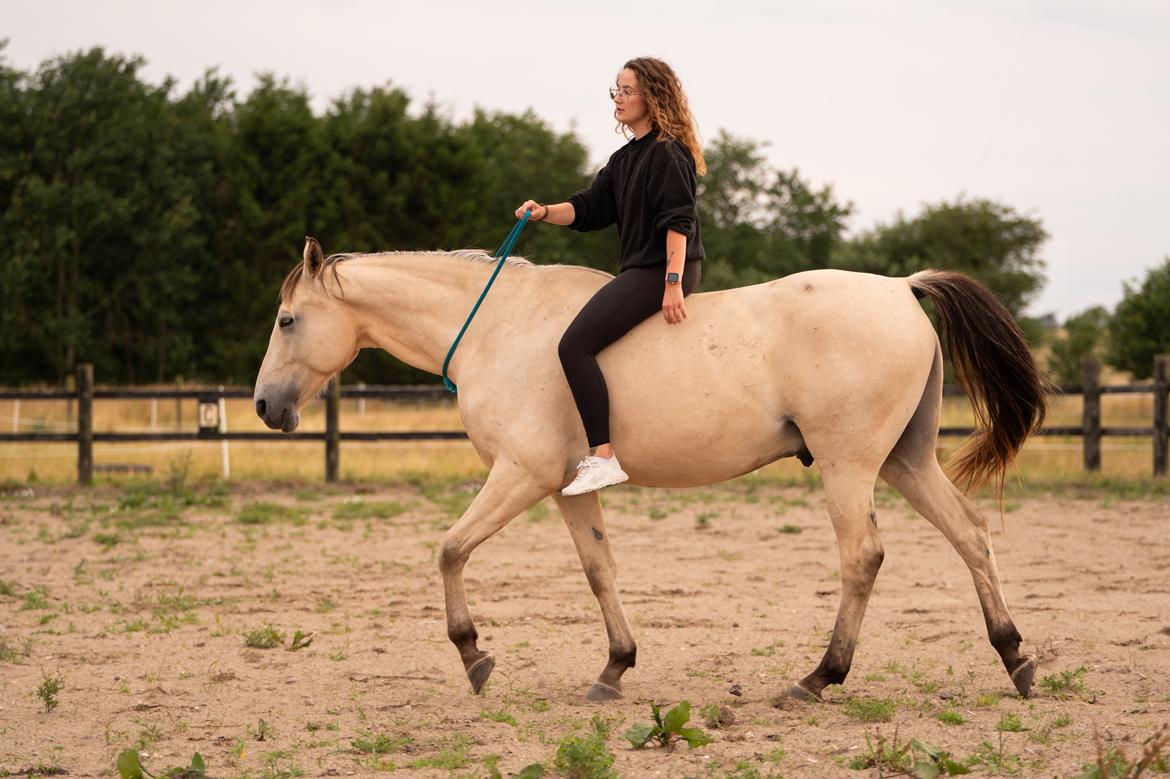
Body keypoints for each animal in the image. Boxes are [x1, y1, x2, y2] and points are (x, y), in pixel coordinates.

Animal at [253, 235, 1043, 697]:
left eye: (288, 320)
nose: (264, 405)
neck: (496, 327)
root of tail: (901, 287)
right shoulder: (566, 488)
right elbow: (599, 569)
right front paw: (615, 665)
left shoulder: (521, 475)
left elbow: (449, 549)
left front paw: (473, 653)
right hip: (905, 461)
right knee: (970, 534)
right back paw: (1014, 657)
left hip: (848, 465)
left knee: (863, 556)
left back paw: (822, 675)